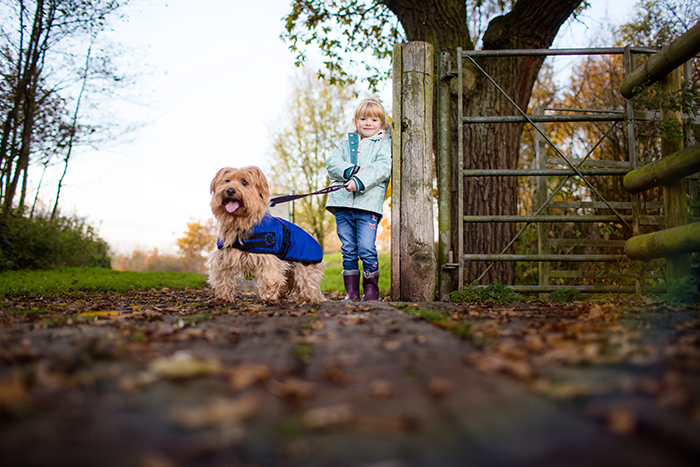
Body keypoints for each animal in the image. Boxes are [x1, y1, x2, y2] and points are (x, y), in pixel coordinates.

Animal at [205, 166, 326, 306]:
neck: (240, 222)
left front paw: (269, 297)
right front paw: (223, 297)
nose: (230, 190)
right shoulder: (223, 257)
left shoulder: (270, 259)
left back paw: (305, 299)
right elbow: (222, 277)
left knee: (308, 284)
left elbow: (270, 278)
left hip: (304, 267)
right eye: (227, 181)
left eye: (244, 182)